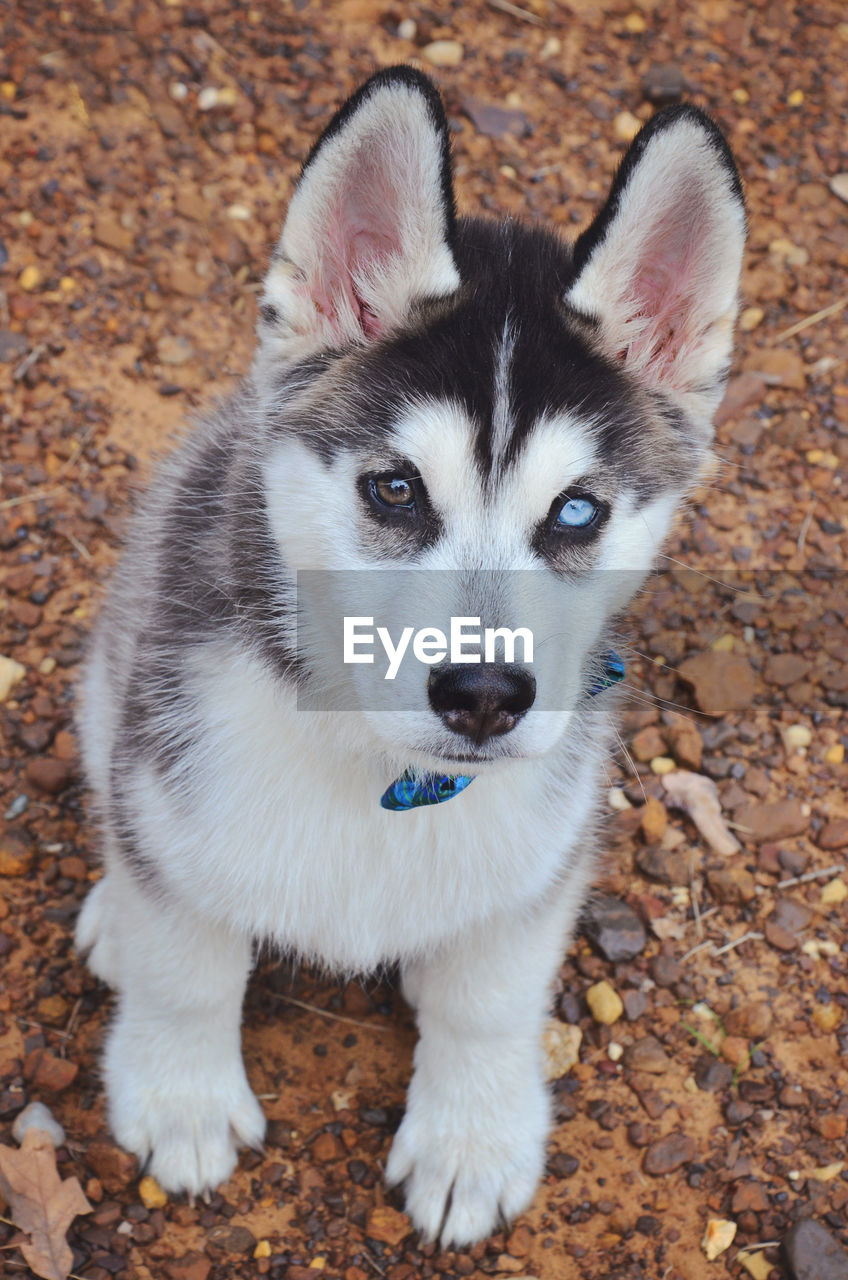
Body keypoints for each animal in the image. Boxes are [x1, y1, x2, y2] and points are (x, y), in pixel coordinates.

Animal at [76, 64, 748, 1244]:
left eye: (577, 511)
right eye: (393, 488)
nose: (482, 692)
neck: (378, 769)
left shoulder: (539, 853)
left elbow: (488, 1001)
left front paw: (470, 1137)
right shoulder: (168, 783)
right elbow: (186, 967)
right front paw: (179, 1095)